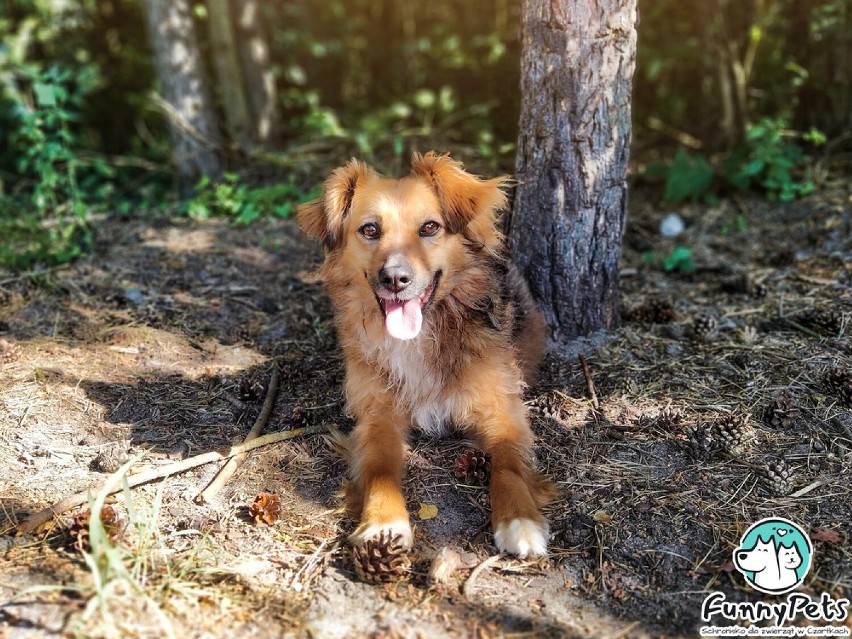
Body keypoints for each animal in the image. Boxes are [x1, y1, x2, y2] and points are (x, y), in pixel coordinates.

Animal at [298, 152, 552, 556]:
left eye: (430, 227)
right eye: (370, 230)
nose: (394, 278)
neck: (422, 336)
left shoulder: (501, 407)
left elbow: (508, 462)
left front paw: (519, 519)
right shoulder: (378, 415)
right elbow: (380, 469)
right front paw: (383, 523)